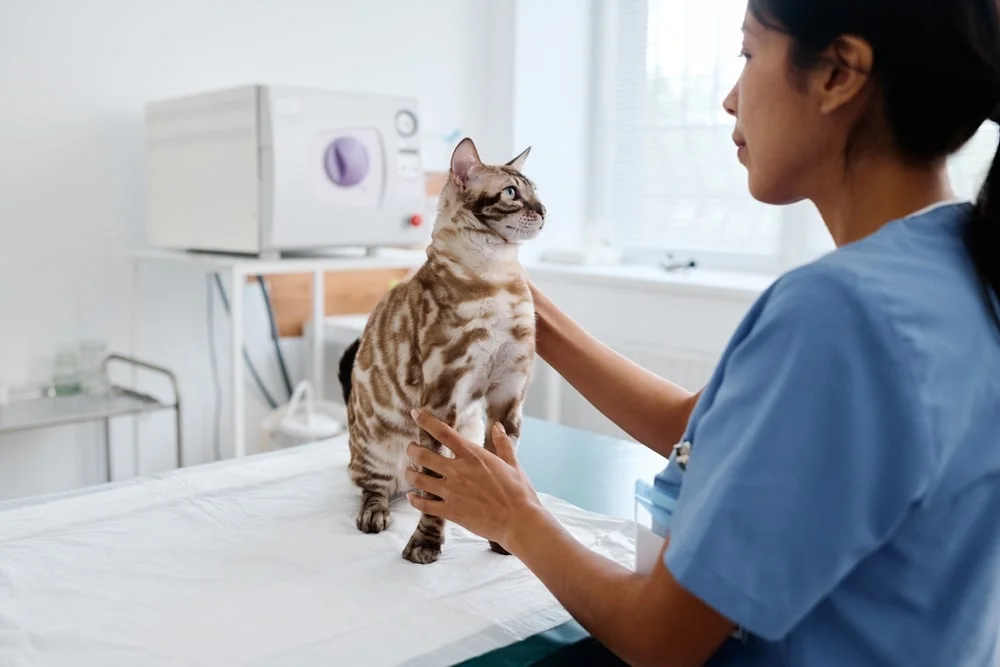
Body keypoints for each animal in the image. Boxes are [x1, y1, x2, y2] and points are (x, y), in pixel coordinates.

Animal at [336, 138, 544, 568]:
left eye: (536, 190)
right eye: (512, 193)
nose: (545, 210)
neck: (497, 277)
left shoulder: (508, 395)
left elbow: (504, 468)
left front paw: (503, 538)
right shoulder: (441, 398)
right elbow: (435, 493)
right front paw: (426, 545)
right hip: (376, 445)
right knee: (375, 487)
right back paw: (375, 514)